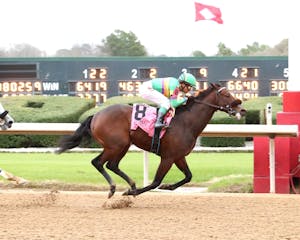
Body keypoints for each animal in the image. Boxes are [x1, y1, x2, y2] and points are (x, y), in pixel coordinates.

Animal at [56, 83, 246, 198]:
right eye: (227, 94)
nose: (242, 109)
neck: (185, 122)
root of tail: (96, 115)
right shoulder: (168, 157)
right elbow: (156, 182)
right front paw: (134, 193)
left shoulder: (179, 156)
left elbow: (188, 176)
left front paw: (167, 187)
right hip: (117, 145)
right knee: (99, 162)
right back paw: (116, 188)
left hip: (121, 145)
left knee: (111, 165)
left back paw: (130, 185)